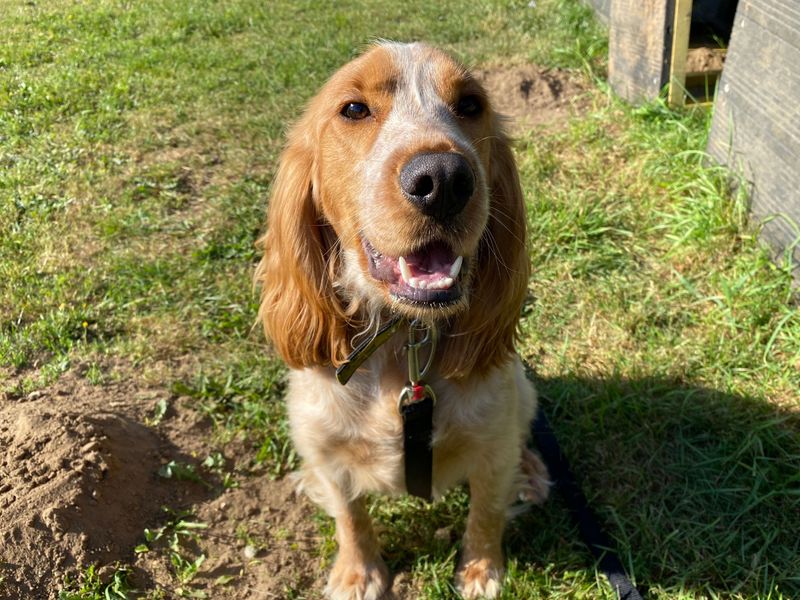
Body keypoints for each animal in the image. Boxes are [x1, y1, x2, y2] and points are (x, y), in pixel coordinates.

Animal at [256, 42, 552, 600]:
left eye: (471, 105)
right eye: (353, 109)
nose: (443, 180)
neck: (404, 343)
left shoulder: (493, 440)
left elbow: (486, 511)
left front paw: (481, 570)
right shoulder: (323, 444)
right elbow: (350, 515)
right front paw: (357, 574)